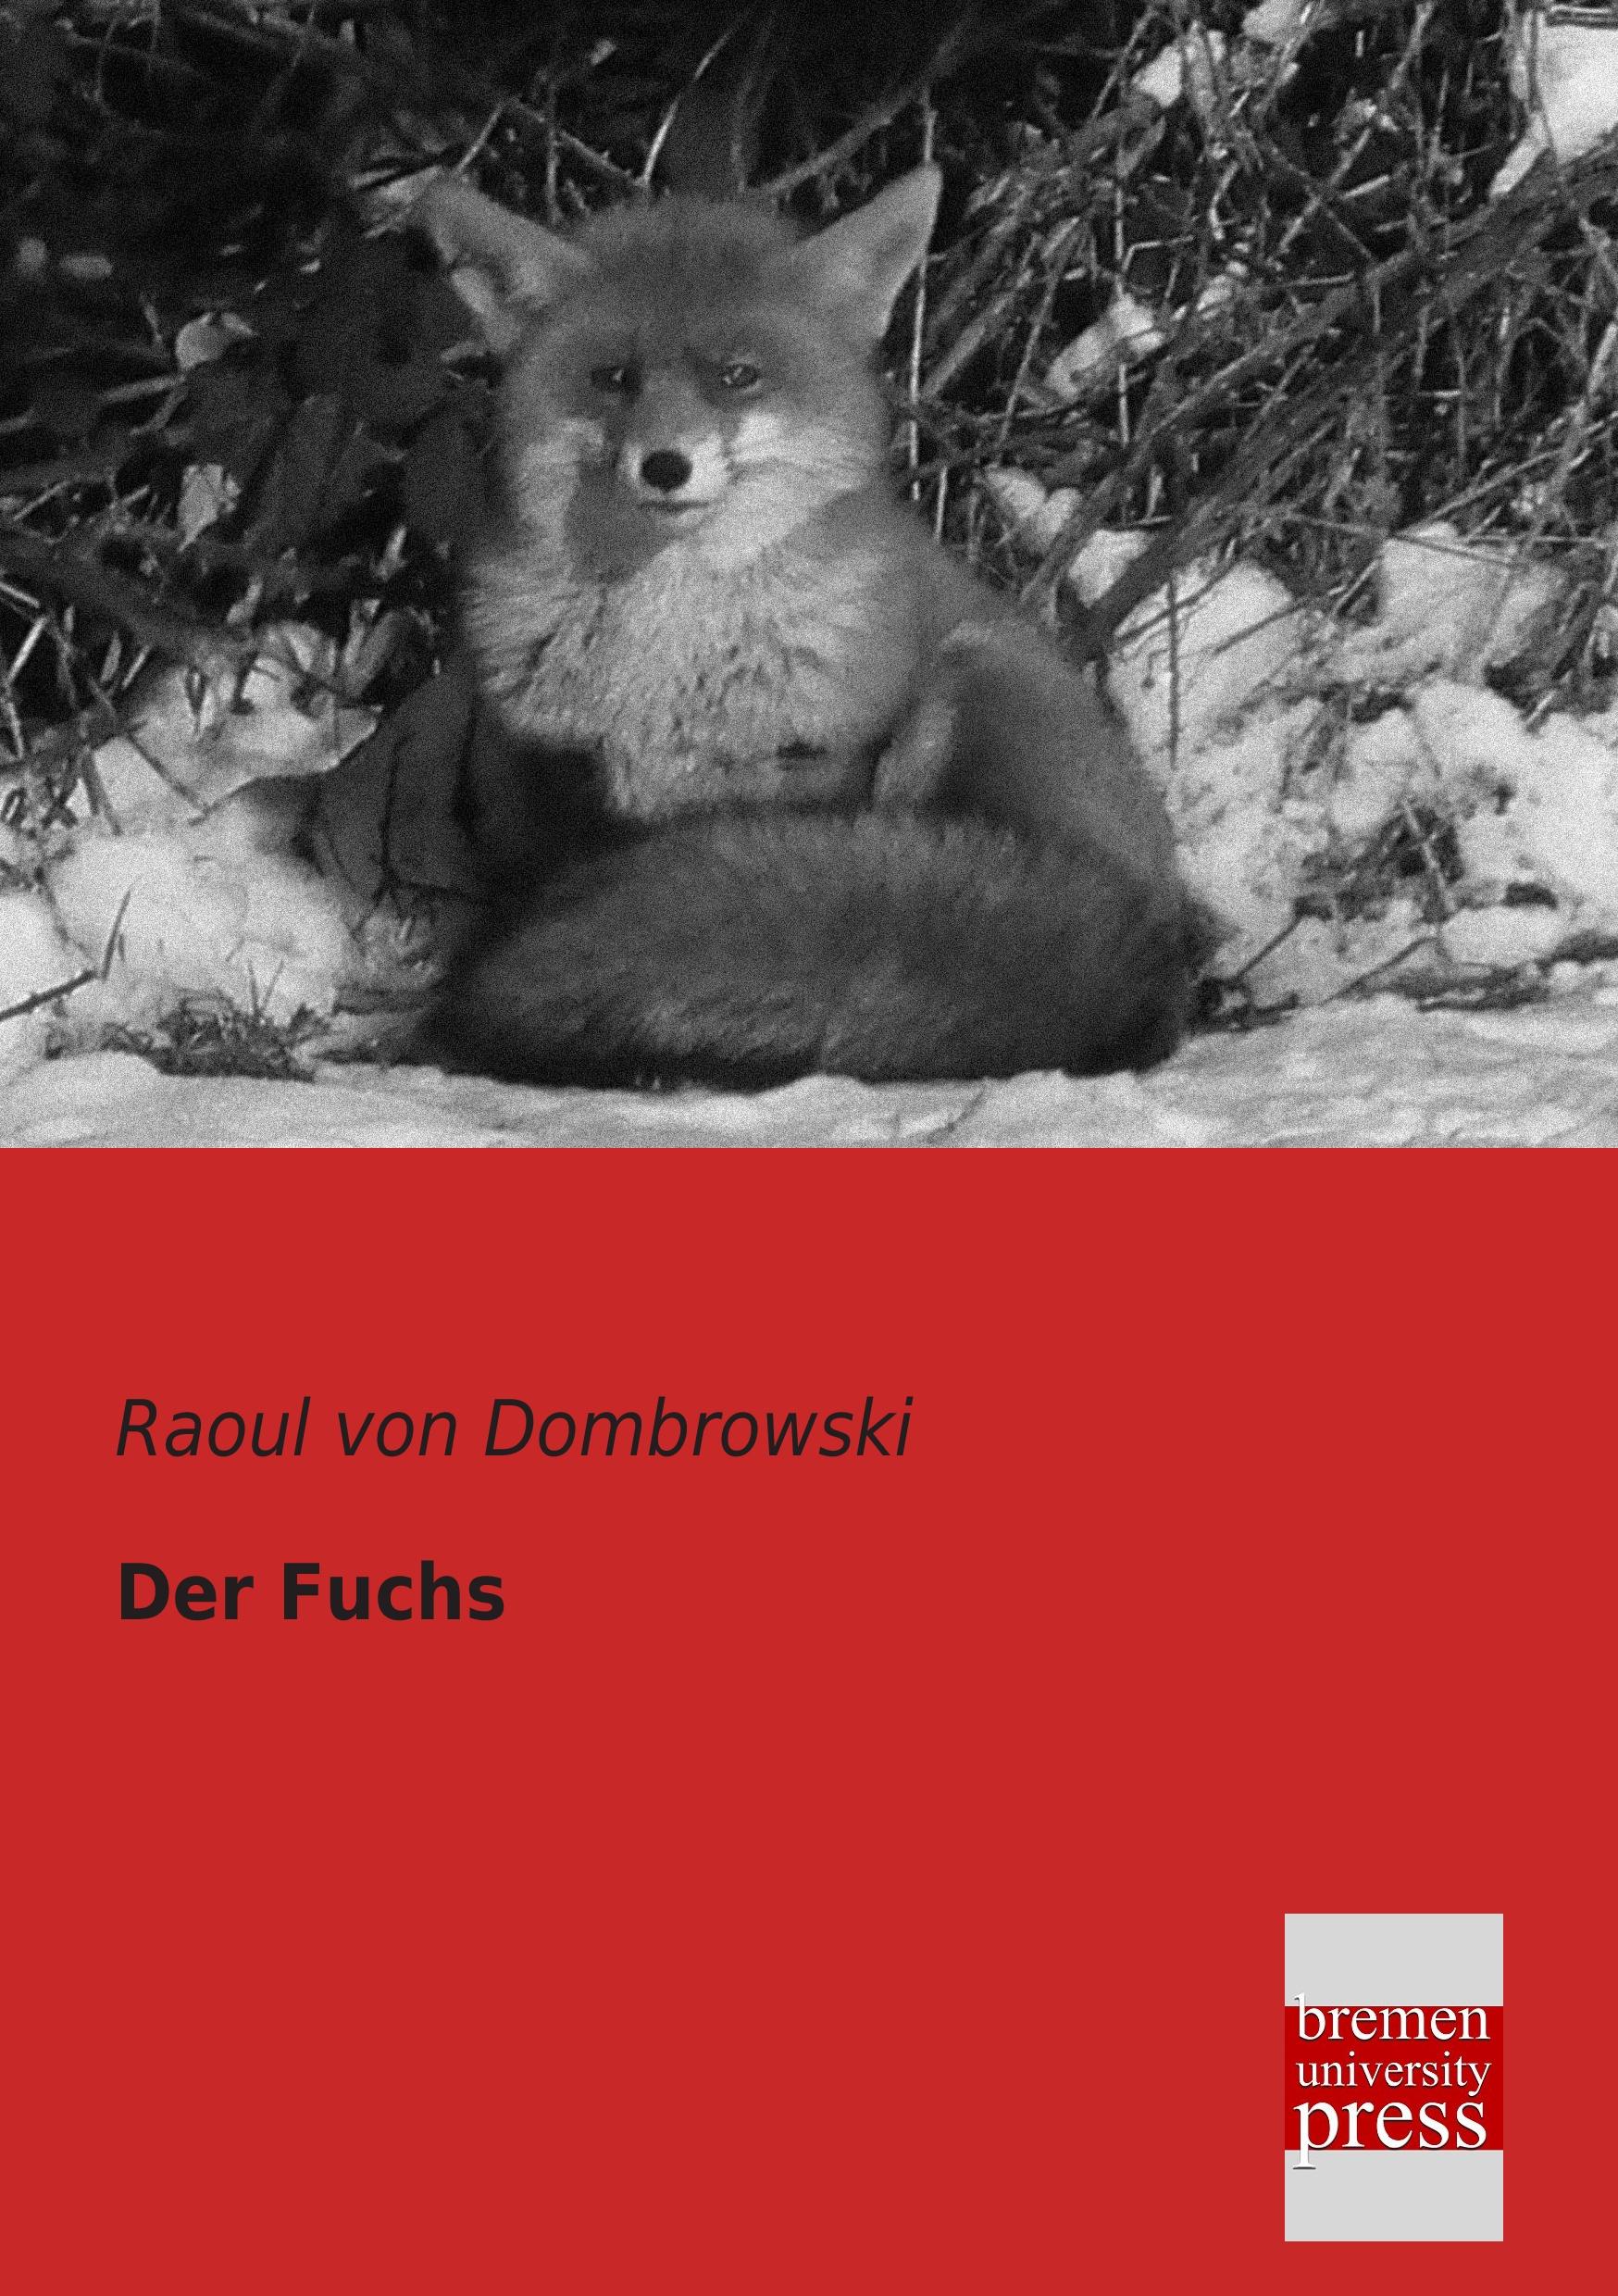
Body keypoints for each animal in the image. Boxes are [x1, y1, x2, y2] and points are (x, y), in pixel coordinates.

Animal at [415, 163, 1195, 1087]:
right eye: (613, 378)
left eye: (736, 376)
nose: (666, 465)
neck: (666, 646)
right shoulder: (556, 781)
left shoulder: (811, 765)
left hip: (970, 678)